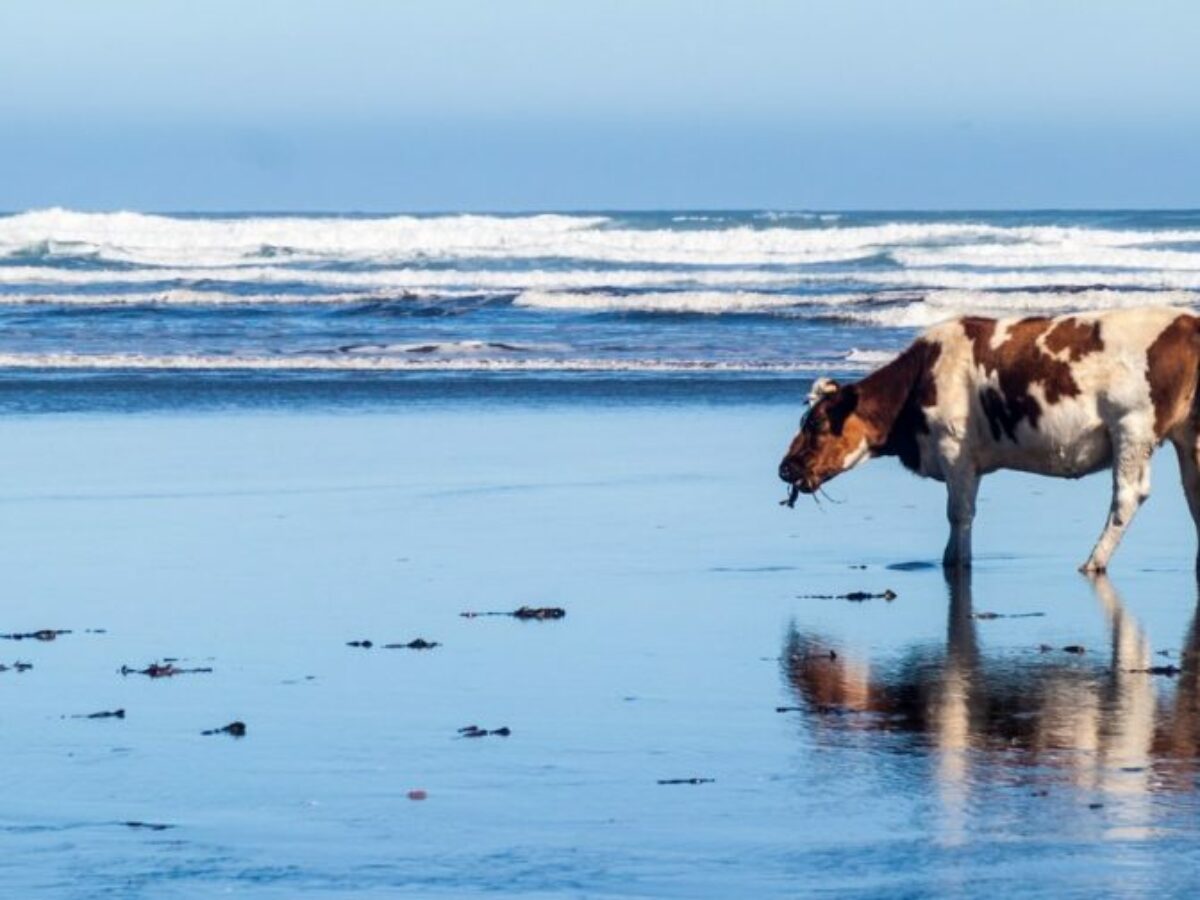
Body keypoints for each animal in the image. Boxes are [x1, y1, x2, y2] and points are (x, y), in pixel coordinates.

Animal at [777, 307, 1200, 572]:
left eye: (817, 422)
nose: (786, 468)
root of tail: (1187, 320)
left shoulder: (954, 450)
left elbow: (959, 514)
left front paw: (955, 562)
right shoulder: (973, 463)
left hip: (1132, 427)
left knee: (1127, 496)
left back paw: (1093, 563)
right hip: (1187, 434)